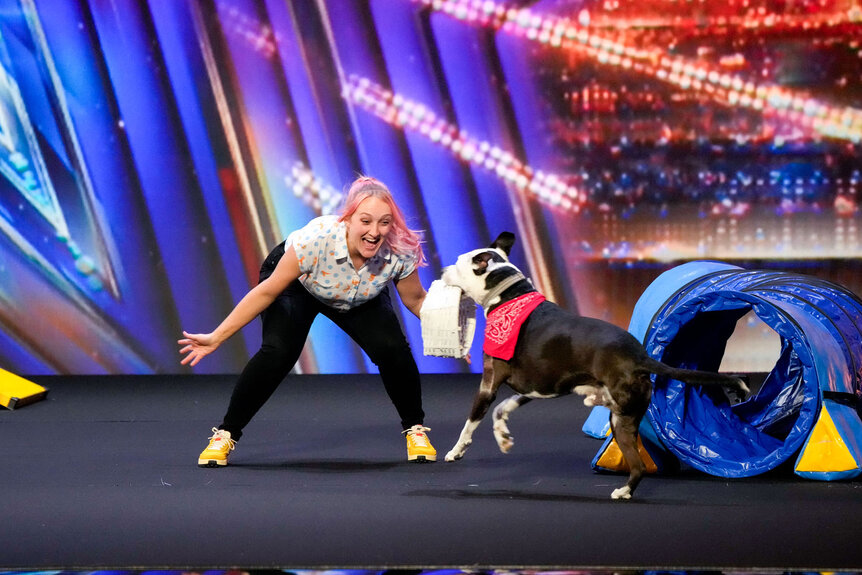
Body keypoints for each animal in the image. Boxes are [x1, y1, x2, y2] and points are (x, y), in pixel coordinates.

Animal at [438, 232, 748, 502]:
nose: (442, 270)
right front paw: (502, 437)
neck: (508, 296)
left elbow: (470, 423)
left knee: (638, 465)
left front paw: (455, 451)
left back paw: (622, 492)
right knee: (637, 462)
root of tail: (639, 356)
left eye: (457, 263)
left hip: (620, 419)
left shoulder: (488, 385)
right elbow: (502, 409)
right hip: (624, 416)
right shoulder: (535, 387)